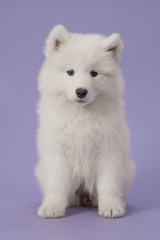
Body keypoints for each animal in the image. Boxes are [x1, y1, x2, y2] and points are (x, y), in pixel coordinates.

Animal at [35, 25, 135, 218]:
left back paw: (95, 200)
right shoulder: (57, 152)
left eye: (94, 73)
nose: (81, 91)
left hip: (127, 169)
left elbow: (109, 184)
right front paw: (52, 206)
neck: (81, 114)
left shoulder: (108, 151)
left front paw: (111, 206)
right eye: (70, 72)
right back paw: (73, 200)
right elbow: (57, 184)